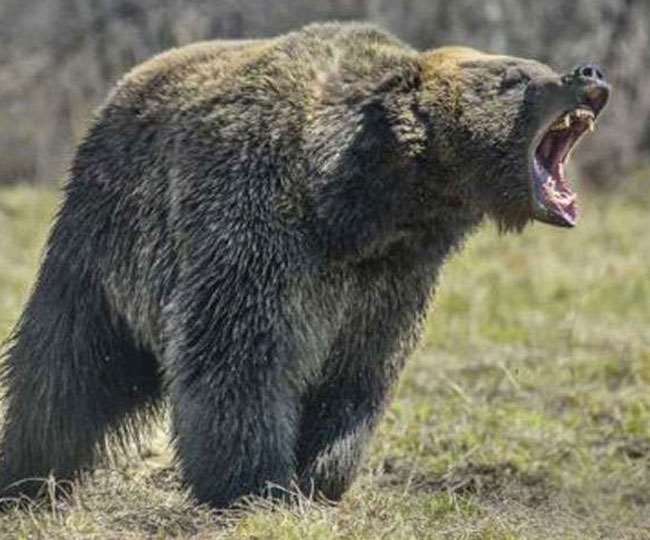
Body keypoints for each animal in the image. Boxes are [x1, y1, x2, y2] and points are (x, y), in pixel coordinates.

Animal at [0, 22, 609, 508]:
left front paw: (322, 476)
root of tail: (128, 81)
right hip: (104, 244)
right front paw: (255, 483)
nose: (588, 72)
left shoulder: (392, 282)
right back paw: (30, 473)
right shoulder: (260, 229)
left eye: (533, 67)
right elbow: (239, 357)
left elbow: (357, 375)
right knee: (64, 364)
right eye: (513, 76)